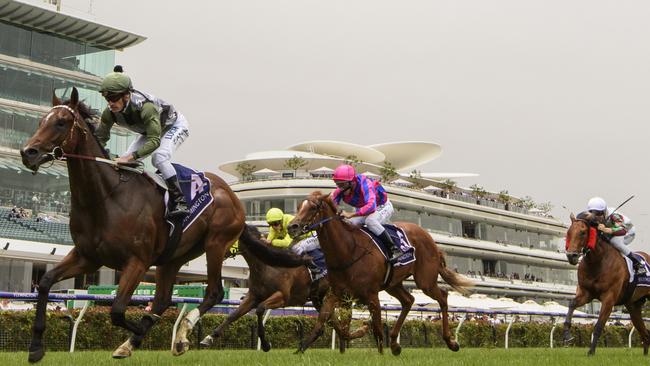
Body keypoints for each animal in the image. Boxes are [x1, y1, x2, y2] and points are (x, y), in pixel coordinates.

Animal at [17, 87, 306, 362]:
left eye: (62, 122)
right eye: (41, 120)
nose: (28, 152)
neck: (105, 197)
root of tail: (232, 195)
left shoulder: (137, 261)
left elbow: (117, 311)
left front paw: (144, 331)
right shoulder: (88, 257)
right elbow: (46, 283)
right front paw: (35, 348)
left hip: (216, 243)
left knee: (214, 292)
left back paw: (182, 335)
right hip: (173, 257)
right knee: (164, 299)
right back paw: (137, 342)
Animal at [197, 226, 368, 352]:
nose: (210, 250)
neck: (267, 265)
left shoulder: (282, 297)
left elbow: (260, 309)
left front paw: (266, 345)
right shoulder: (253, 296)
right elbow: (233, 315)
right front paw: (209, 338)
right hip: (318, 299)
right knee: (332, 322)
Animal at [284, 192, 470, 354]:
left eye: (313, 207)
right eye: (299, 206)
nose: (292, 226)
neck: (348, 251)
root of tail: (429, 237)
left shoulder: (371, 295)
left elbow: (378, 329)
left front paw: (380, 354)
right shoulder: (335, 294)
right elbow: (324, 323)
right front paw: (300, 350)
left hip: (425, 280)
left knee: (443, 297)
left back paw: (450, 341)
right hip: (393, 284)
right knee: (408, 300)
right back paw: (394, 343)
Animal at [560, 212, 648, 354]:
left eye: (583, 232)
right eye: (569, 232)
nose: (571, 256)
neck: (598, 261)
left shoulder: (609, 298)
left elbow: (599, 325)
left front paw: (591, 352)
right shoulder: (586, 293)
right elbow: (572, 304)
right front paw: (567, 335)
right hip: (633, 306)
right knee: (644, 333)